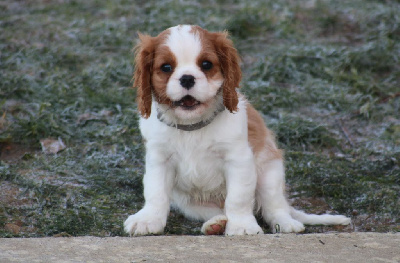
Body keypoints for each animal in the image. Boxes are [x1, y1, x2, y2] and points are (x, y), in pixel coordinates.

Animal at [124, 24, 350, 236]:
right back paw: (216, 224)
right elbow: (155, 192)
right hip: (189, 203)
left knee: (274, 207)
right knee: (218, 210)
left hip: (270, 174)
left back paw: (286, 223)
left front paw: (242, 226)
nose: (187, 78)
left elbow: (238, 198)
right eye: (166, 67)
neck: (193, 126)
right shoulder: (159, 160)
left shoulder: (239, 160)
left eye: (206, 64)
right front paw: (148, 219)